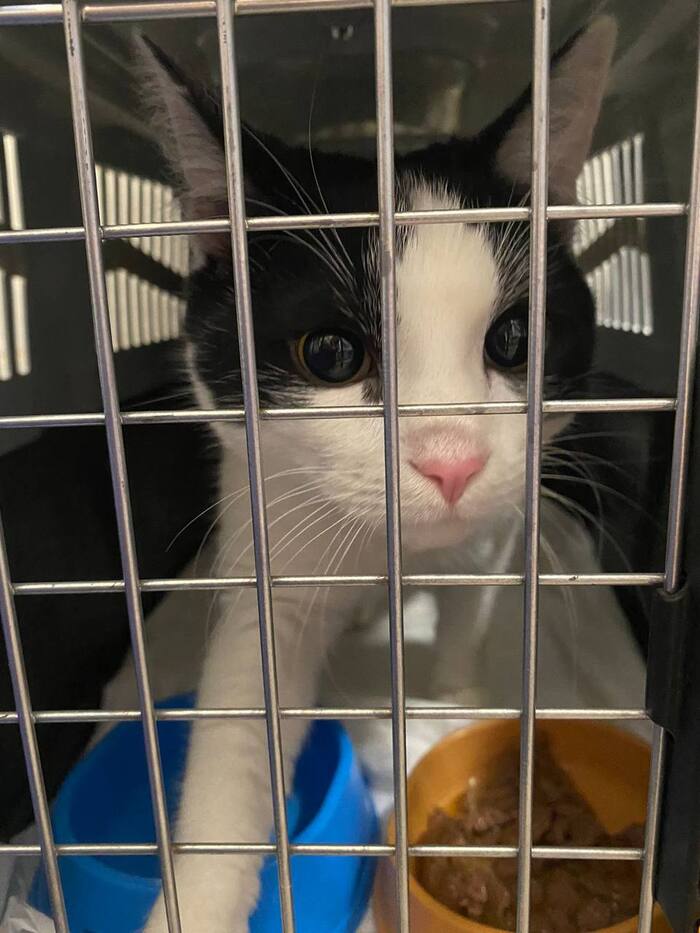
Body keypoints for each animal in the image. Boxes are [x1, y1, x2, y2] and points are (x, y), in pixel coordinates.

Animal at [138, 15, 617, 932]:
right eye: (329, 353)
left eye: (514, 341)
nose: (451, 459)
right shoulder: (269, 522)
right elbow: (242, 726)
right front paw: (201, 897)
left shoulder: (493, 535)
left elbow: (467, 607)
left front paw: (456, 697)